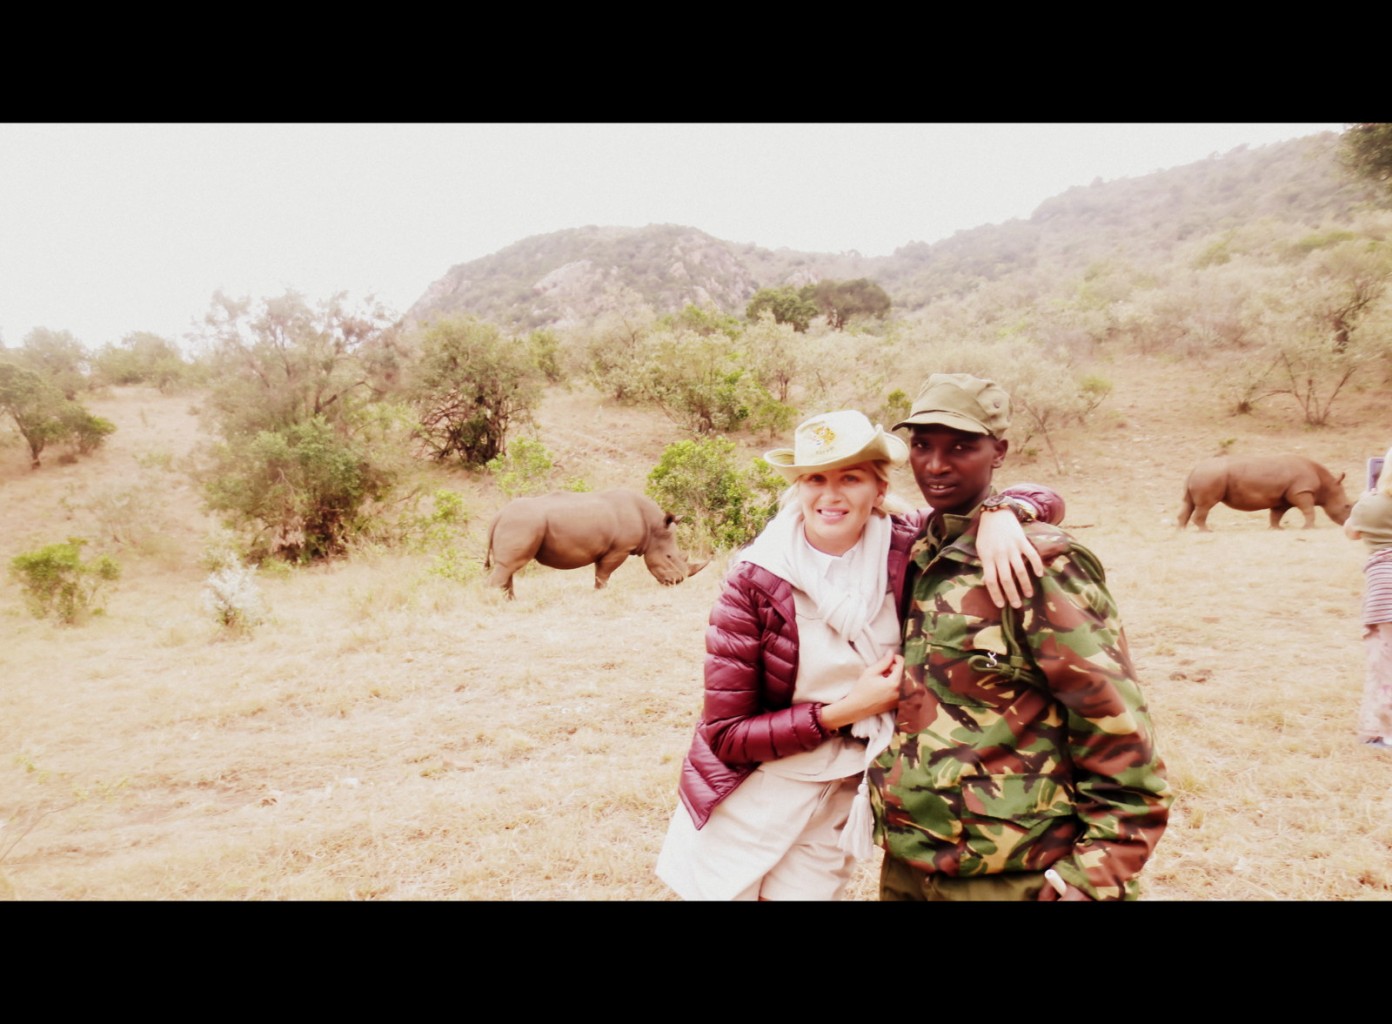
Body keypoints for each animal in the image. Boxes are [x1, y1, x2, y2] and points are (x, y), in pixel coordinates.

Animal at [485, 489, 710, 598]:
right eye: (669, 556)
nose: (676, 582)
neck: (653, 527)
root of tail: (498, 515)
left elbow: (599, 572)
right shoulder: (619, 549)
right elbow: (603, 573)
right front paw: (601, 592)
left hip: (518, 524)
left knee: (508, 567)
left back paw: (510, 602)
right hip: (522, 523)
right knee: (507, 566)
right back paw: (495, 603)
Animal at [1177, 454, 1353, 531]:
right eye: (1347, 506)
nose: (1346, 524)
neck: (1327, 485)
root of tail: (1194, 469)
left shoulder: (1284, 497)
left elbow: (1276, 514)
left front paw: (1276, 529)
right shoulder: (1301, 491)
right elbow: (1308, 510)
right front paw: (1309, 529)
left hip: (1203, 475)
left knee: (1188, 504)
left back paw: (1181, 531)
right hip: (1210, 475)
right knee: (1205, 506)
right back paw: (1206, 531)